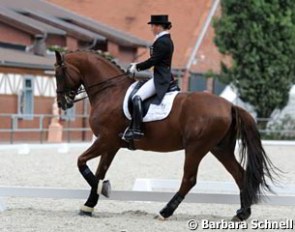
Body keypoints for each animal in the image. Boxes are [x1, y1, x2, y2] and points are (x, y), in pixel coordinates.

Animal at [53, 50, 278, 221]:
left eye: (58, 74)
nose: (62, 103)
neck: (110, 92)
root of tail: (230, 105)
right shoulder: (111, 144)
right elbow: (99, 171)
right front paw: (89, 205)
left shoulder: (106, 139)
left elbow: (81, 162)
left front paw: (103, 189)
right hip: (219, 148)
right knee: (239, 174)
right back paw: (242, 213)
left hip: (196, 148)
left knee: (189, 179)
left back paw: (165, 212)